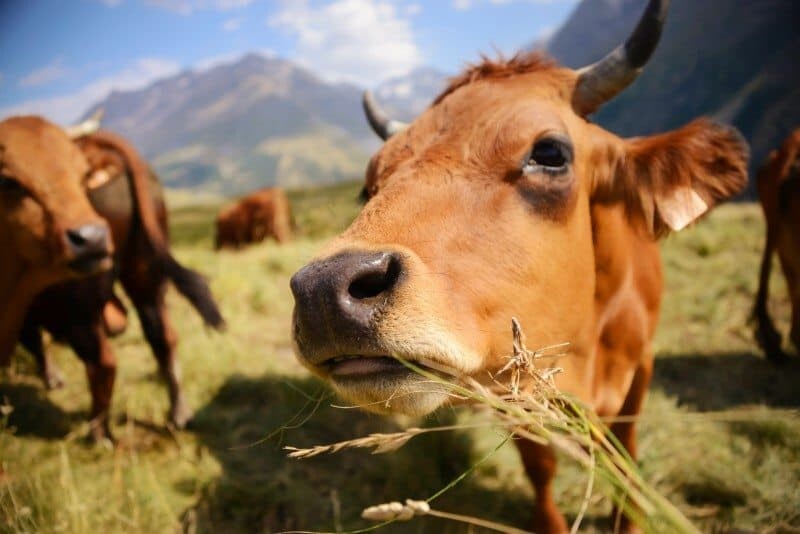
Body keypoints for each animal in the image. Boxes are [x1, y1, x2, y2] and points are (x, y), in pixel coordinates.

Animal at [19, 131, 225, 444]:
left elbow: (33, 340)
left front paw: (52, 378)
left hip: (80, 297)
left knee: (102, 359)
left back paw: (98, 433)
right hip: (145, 270)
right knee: (162, 336)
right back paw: (179, 414)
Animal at [290, 0, 752, 532]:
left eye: (550, 152)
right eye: (371, 182)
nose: (323, 290)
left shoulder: (642, 366)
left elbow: (625, 453)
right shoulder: (512, 386)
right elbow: (540, 465)